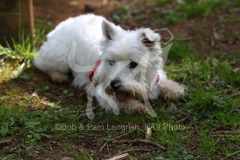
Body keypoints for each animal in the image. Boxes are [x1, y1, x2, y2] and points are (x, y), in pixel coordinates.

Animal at [33, 13, 185, 116]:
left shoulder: (155, 75)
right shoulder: (101, 90)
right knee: (41, 64)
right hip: (59, 56)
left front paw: (175, 89)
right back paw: (59, 77)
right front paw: (136, 107)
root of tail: (63, 24)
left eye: (133, 64)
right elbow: (120, 102)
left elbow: (163, 81)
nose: (114, 84)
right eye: (111, 62)